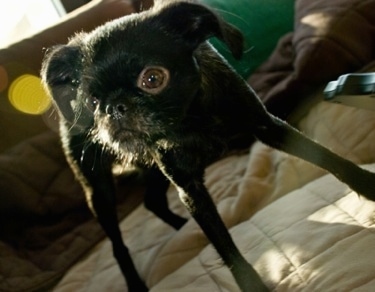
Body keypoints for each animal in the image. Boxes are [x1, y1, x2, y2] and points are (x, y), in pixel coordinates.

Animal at [41, 1, 375, 290]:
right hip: (99, 191)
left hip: (150, 169)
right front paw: (252, 285)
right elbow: (225, 246)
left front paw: (367, 185)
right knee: (118, 243)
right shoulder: (191, 189)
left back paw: (180, 226)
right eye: (92, 101)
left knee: (152, 200)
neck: (192, 119)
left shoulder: (267, 126)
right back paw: (136, 281)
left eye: (153, 78)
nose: (114, 108)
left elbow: (327, 157)